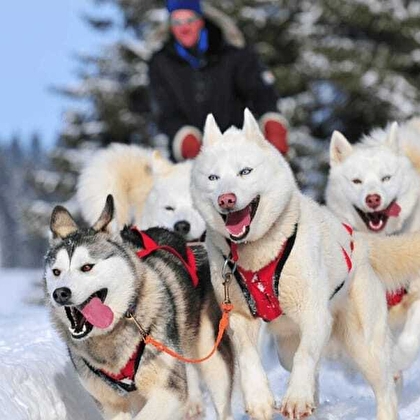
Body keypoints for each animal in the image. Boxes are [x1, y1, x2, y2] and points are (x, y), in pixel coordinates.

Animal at [44, 197, 235, 420]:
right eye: (56, 272)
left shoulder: (169, 392)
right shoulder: (111, 405)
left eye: (87, 267)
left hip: (212, 358)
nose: (60, 293)